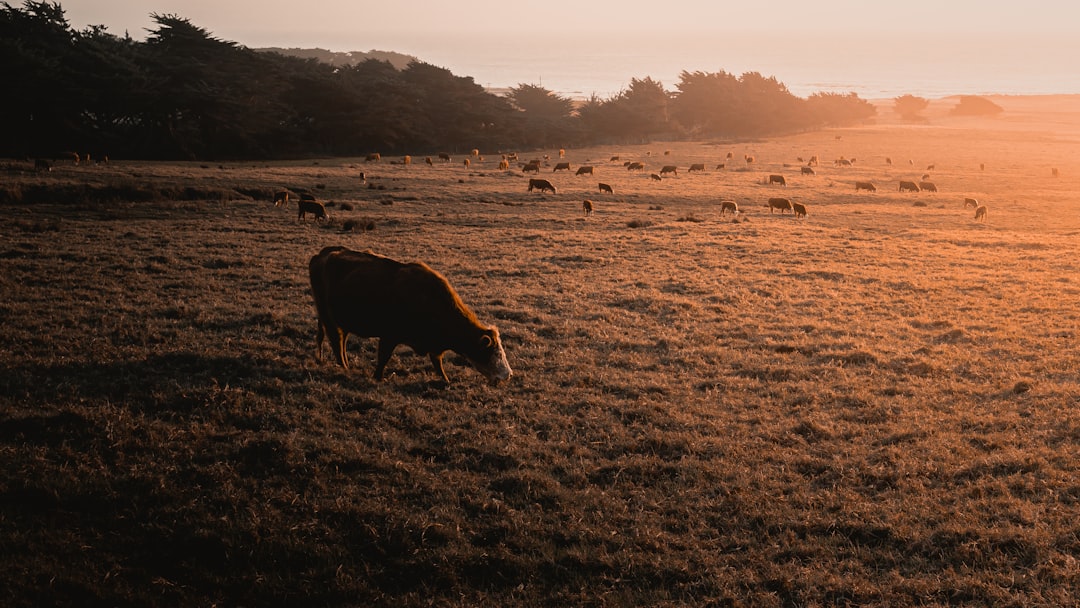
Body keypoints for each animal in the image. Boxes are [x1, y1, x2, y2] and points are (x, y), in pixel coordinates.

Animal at [311, 247, 511, 384]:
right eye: (493, 352)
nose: (508, 374)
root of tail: (322, 254)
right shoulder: (389, 335)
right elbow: (383, 357)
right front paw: (378, 377)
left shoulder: (433, 344)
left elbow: (437, 362)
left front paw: (446, 380)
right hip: (329, 318)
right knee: (337, 343)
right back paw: (345, 368)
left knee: (340, 342)